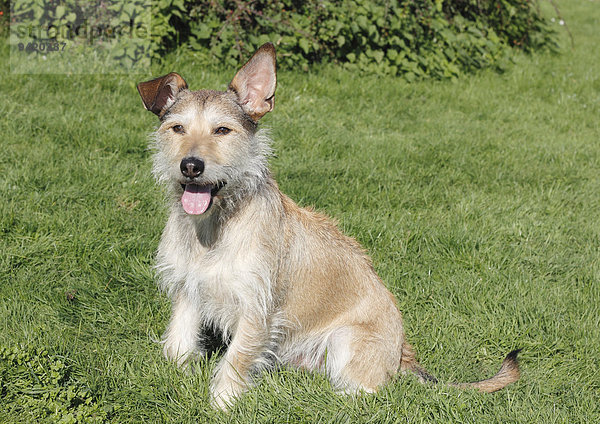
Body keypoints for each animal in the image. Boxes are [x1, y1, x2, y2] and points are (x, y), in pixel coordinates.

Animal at [137, 42, 520, 408]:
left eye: (222, 130)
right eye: (177, 128)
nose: (191, 166)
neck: (214, 226)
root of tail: (402, 356)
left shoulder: (256, 308)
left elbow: (236, 360)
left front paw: (222, 404)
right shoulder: (188, 289)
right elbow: (178, 342)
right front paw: (172, 378)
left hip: (345, 340)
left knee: (367, 393)